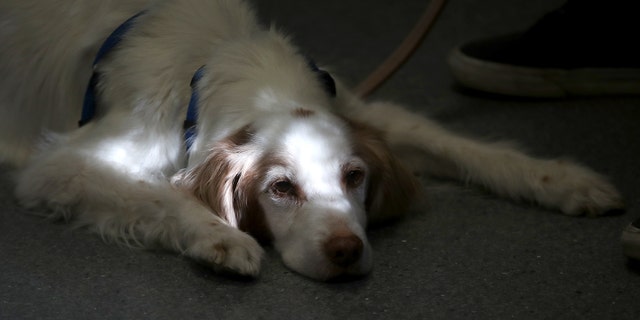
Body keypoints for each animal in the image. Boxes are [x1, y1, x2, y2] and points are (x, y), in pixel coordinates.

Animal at [0, 0, 624, 280]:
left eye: (355, 177)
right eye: (281, 188)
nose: (345, 252)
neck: (216, 63)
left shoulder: (361, 111)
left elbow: (461, 145)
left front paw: (566, 180)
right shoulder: (61, 165)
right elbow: (158, 195)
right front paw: (217, 237)